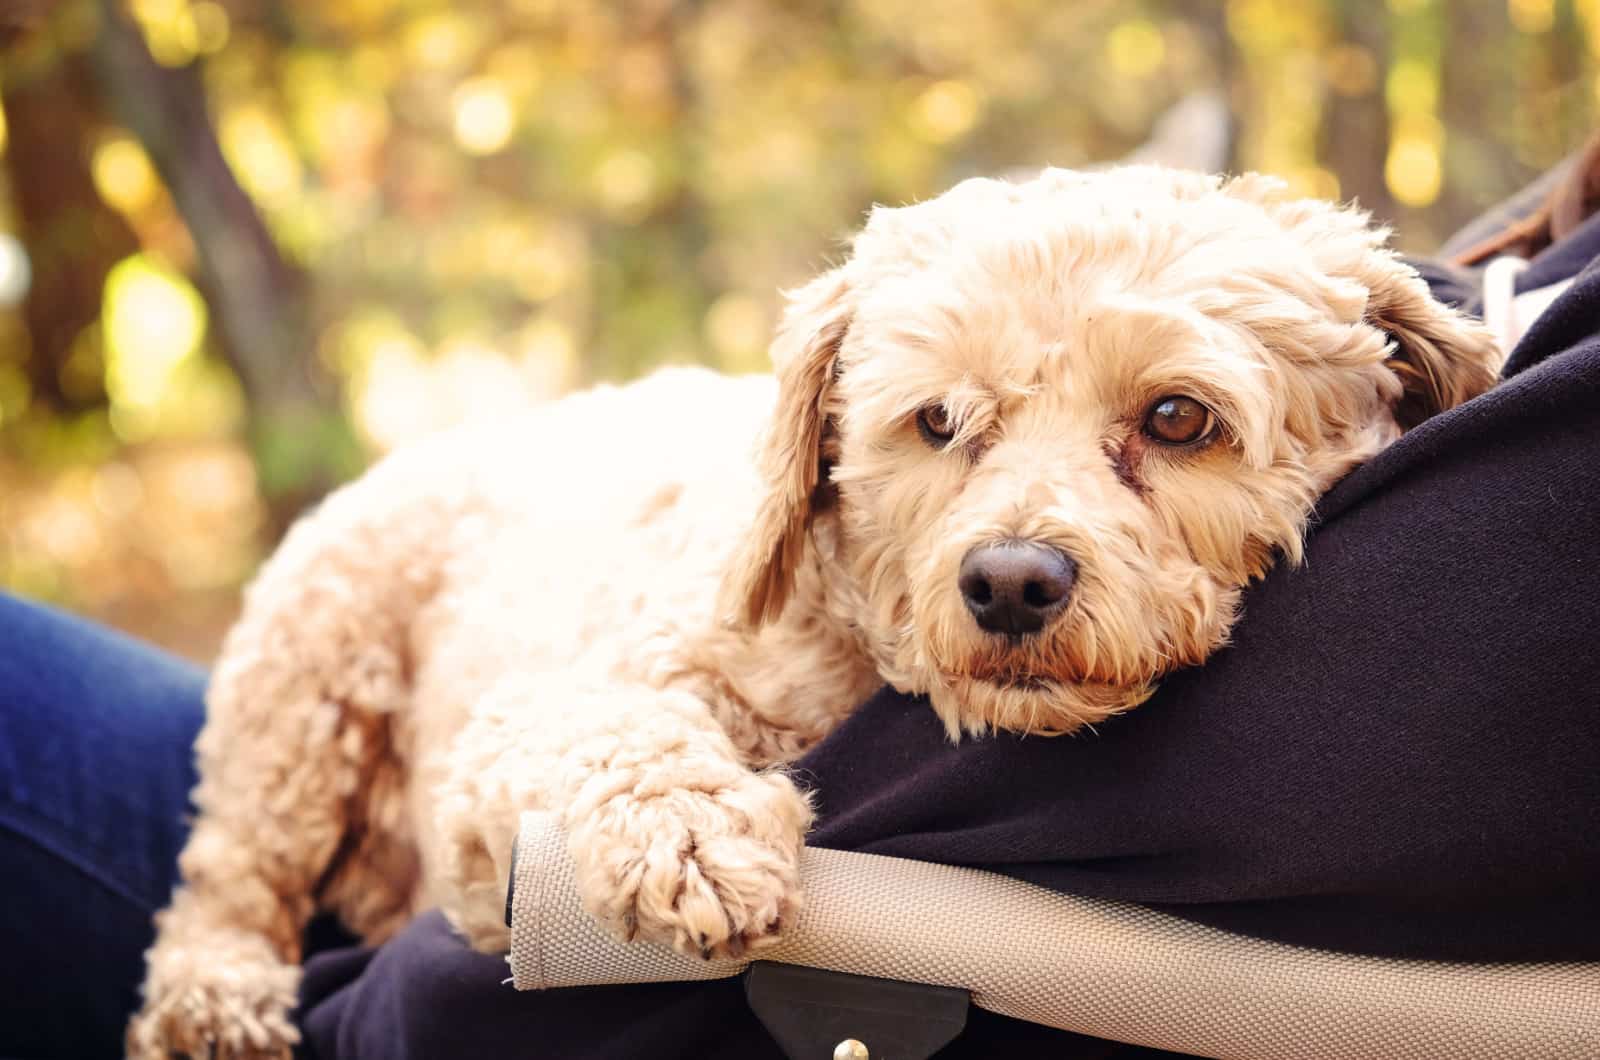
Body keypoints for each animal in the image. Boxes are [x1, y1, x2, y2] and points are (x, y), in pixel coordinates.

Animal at [124, 166, 1497, 1056]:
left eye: (1175, 417)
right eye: (936, 420)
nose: (1008, 581)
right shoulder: (496, 786)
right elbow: (610, 734)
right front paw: (688, 833)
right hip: (304, 681)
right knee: (225, 875)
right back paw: (211, 994)